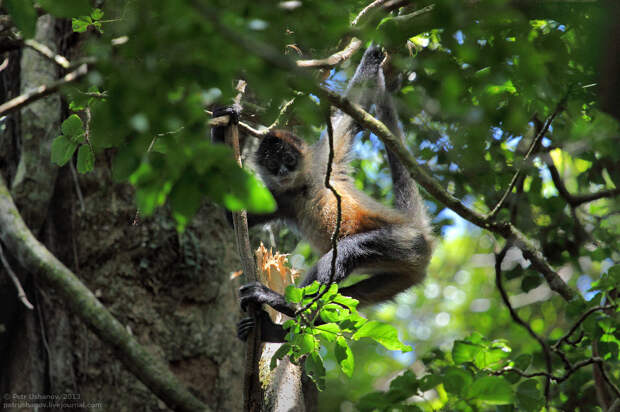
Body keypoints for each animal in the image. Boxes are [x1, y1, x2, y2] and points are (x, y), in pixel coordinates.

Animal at [211, 45, 434, 342]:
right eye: (272, 164)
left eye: (288, 158)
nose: (283, 170)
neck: (302, 185)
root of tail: (418, 230)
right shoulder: (282, 196)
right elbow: (231, 214)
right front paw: (221, 122)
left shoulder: (322, 159)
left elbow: (356, 101)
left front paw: (374, 53)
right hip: (401, 275)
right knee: (346, 298)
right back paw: (277, 328)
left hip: (405, 241)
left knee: (350, 250)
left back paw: (282, 303)